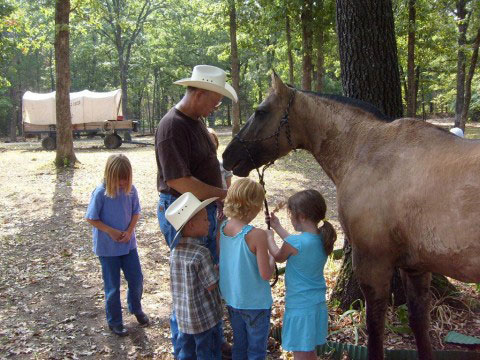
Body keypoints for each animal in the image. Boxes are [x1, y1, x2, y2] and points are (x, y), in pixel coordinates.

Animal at [222, 72, 480, 360]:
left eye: (261, 112)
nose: (227, 156)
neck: (365, 151)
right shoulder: (415, 267)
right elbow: (419, 323)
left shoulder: (372, 264)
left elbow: (375, 328)